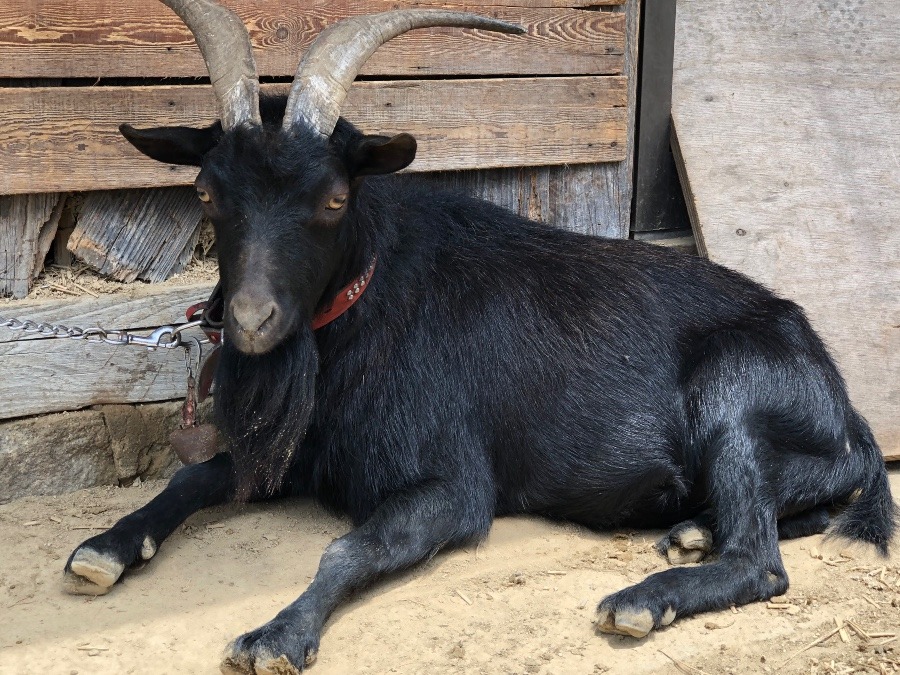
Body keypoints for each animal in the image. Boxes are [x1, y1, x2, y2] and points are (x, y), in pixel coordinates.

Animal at [61, 2, 892, 672]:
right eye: (206, 191)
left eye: (334, 198)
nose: (250, 321)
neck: (366, 314)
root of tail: (846, 406)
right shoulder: (298, 450)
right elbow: (193, 477)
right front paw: (107, 547)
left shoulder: (453, 484)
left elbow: (350, 545)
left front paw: (277, 634)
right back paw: (692, 530)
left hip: (734, 394)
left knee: (762, 558)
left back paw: (643, 597)